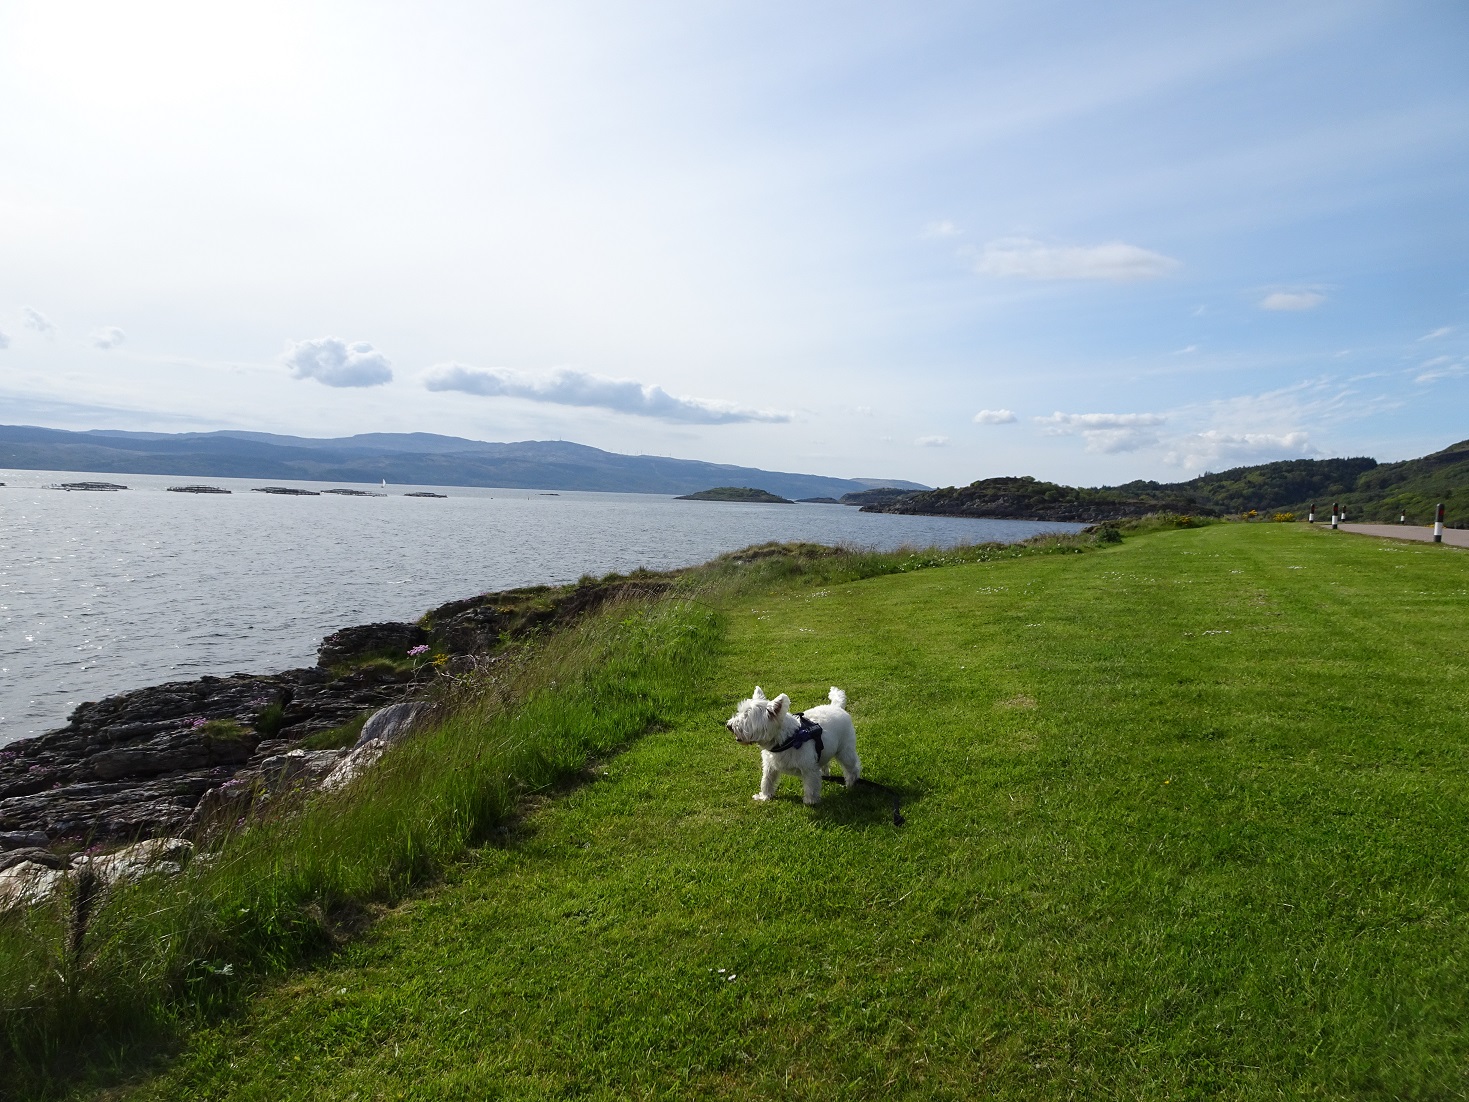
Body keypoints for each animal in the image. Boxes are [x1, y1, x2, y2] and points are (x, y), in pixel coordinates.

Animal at [725, 687, 857, 805]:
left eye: (747, 715)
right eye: (740, 712)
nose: (729, 726)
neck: (788, 738)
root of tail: (837, 706)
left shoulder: (809, 768)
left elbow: (810, 785)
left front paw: (810, 801)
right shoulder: (770, 766)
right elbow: (766, 781)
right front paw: (764, 796)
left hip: (845, 751)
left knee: (853, 768)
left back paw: (851, 785)